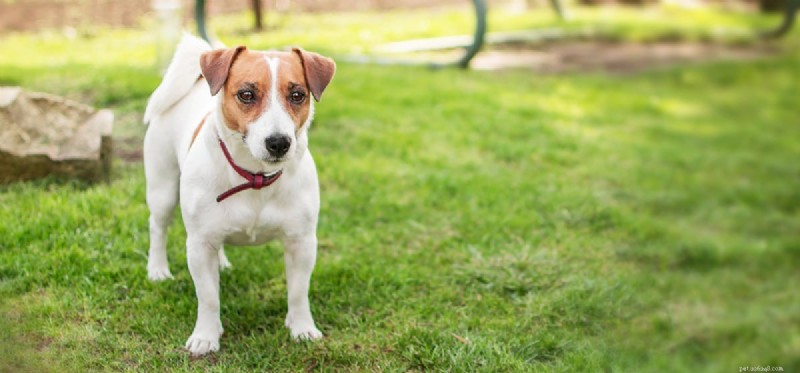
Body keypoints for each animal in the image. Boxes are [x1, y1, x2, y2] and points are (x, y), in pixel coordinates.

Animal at [142, 34, 332, 354]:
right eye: (246, 94)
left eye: (297, 95)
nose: (279, 142)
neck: (255, 178)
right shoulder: (199, 245)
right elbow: (208, 297)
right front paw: (206, 335)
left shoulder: (302, 243)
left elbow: (298, 292)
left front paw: (302, 328)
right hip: (162, 188)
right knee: (158, 227)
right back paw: (157, 270)